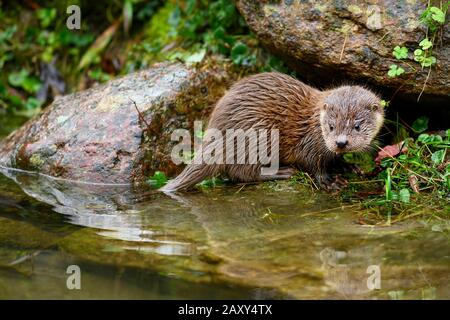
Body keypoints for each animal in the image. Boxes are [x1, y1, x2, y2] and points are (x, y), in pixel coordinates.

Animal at [161, 72, 384, 192]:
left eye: (357, 126)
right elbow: (313, 164)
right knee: (242, 172)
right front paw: (330, 181)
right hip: (257, 134)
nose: (341, 143)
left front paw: (352, 167)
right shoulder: (308, 144)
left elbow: (337, 159)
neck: (313, 124)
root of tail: (215, 135)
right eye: (330, 126)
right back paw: (283, 172)